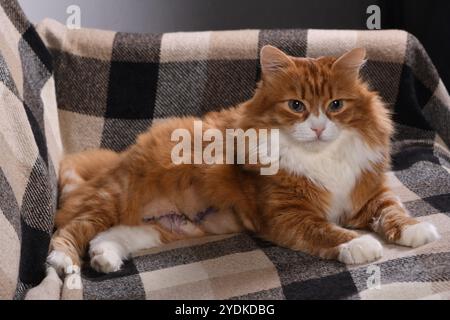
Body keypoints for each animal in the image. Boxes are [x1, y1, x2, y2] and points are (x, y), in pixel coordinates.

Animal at [46, 45, 440, 276]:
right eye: (296, 105)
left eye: (335, 105)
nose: (317, 128)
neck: (321, 157)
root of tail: (119, 158)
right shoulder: (288, 214)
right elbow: (328, 230)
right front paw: (360, 245)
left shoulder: (367, 193)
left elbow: (393, 211)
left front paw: (415, 230)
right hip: (116, 197)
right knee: (72, 229)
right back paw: (64, 262)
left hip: (168, 225)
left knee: (107, 236)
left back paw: (105, 259)